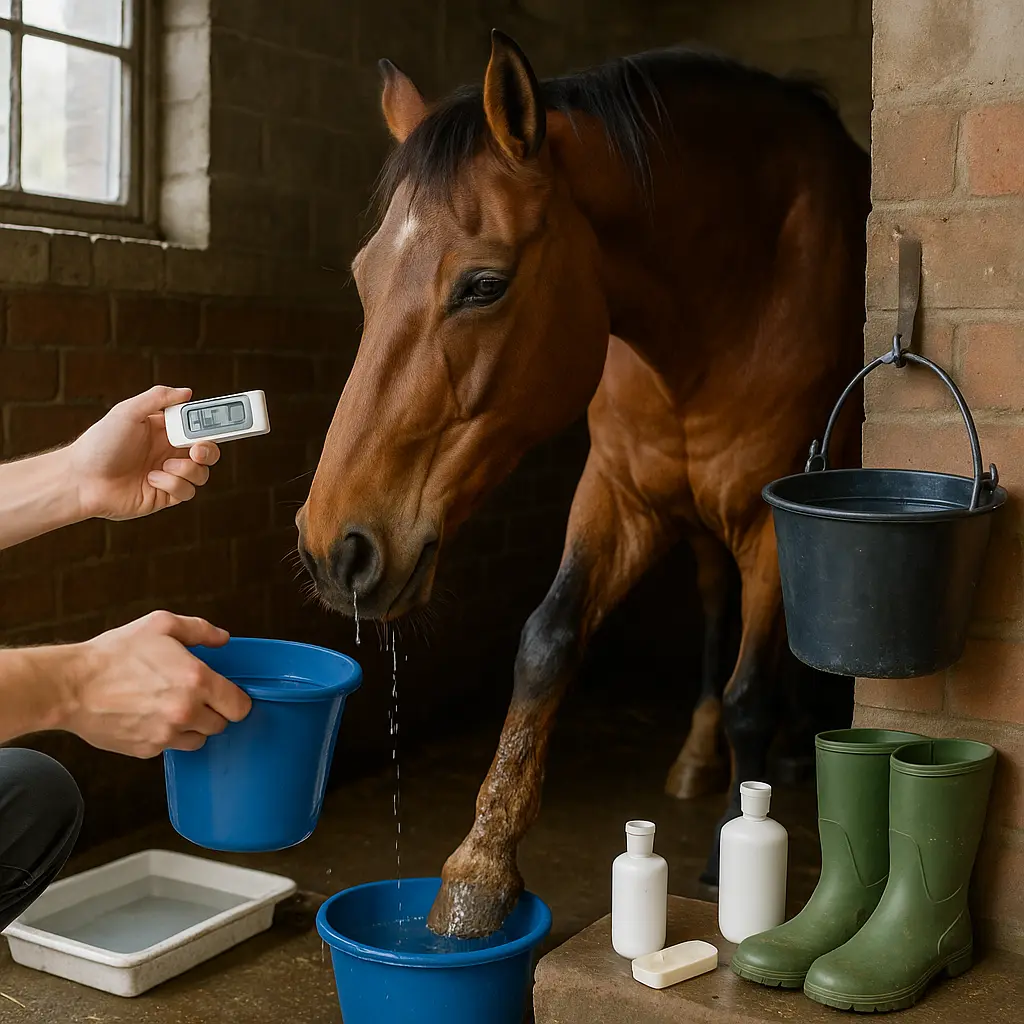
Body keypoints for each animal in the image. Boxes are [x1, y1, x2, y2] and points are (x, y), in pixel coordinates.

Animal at [297, 31, 869, 938]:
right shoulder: (617, 495)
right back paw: (702, 754)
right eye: (363, 277)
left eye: (484, 285)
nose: (335, 549)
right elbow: (547, 644)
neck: (736, 284)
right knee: (716, 613)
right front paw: (478, 872)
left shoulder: (770, 522)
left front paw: (730, 851)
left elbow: (751, 691)